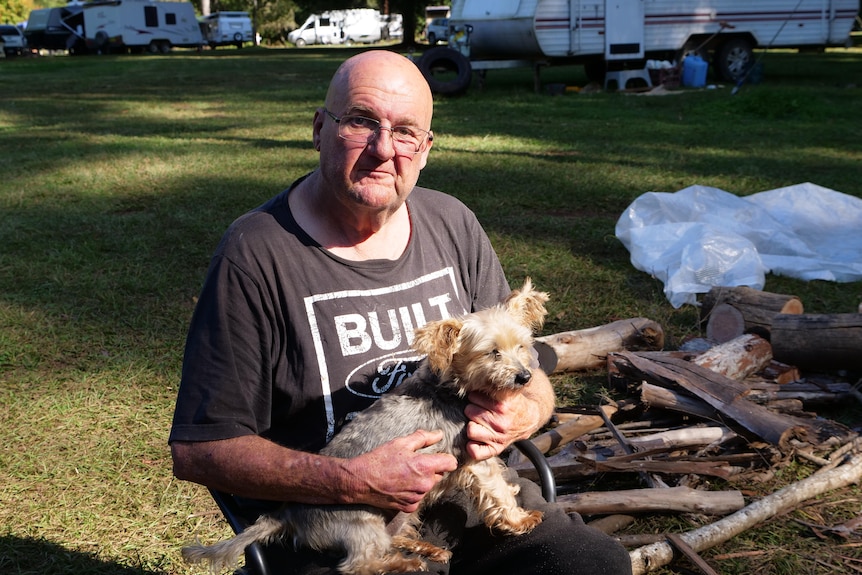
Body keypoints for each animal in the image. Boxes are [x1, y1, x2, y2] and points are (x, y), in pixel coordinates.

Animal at [183, 280, 552, 575]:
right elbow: (496, 490)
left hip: (401, 515)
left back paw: (425, 549)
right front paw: (519, 519)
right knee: (358, 565)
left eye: (521, 346)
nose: (524, 376)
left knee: (394, 539)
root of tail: (288, 514)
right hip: (361, 524)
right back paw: (406, 563)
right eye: (492, 353)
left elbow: (501, 482)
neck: (453, 388)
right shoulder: (475, 456)